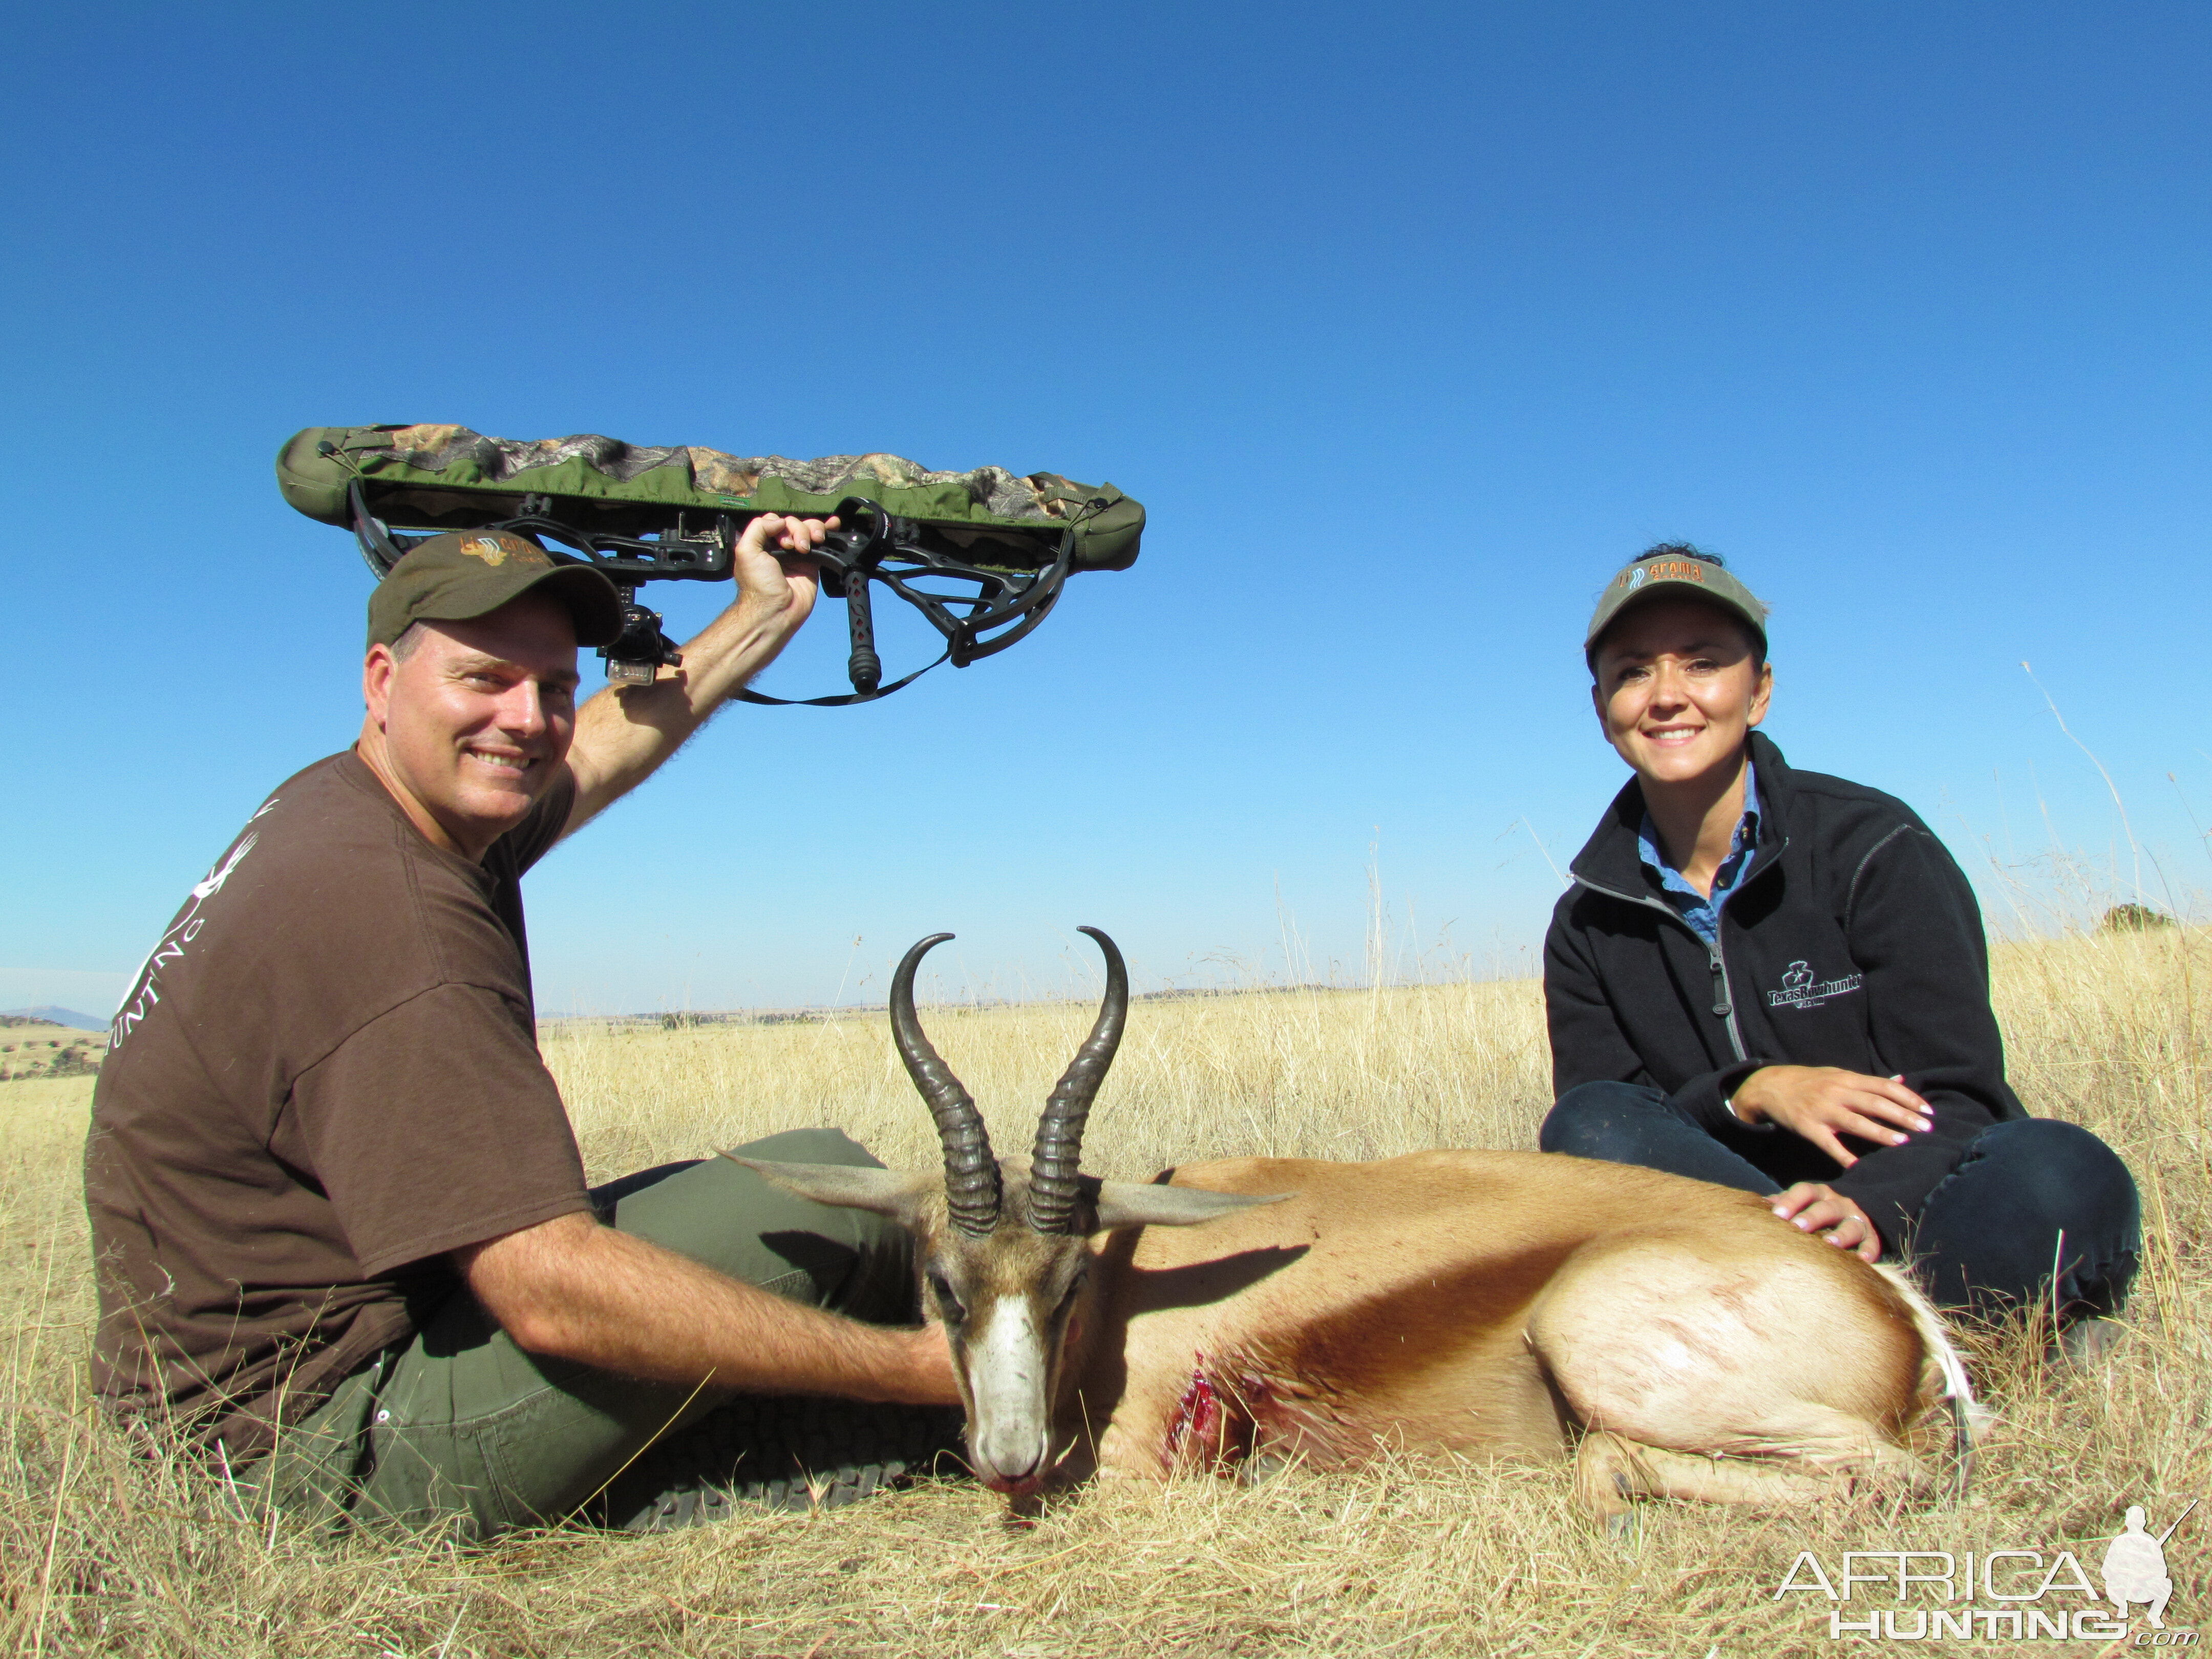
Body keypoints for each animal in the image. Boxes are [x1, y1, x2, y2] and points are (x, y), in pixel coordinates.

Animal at [734, 929, 1982, 1530]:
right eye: (943, 1284)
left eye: (1069, 1284)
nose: (1009, 1458)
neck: (1144, 1283)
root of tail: (1891, 1302)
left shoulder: (1133, 1465)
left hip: (1606, 1344)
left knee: (1884, 1476)